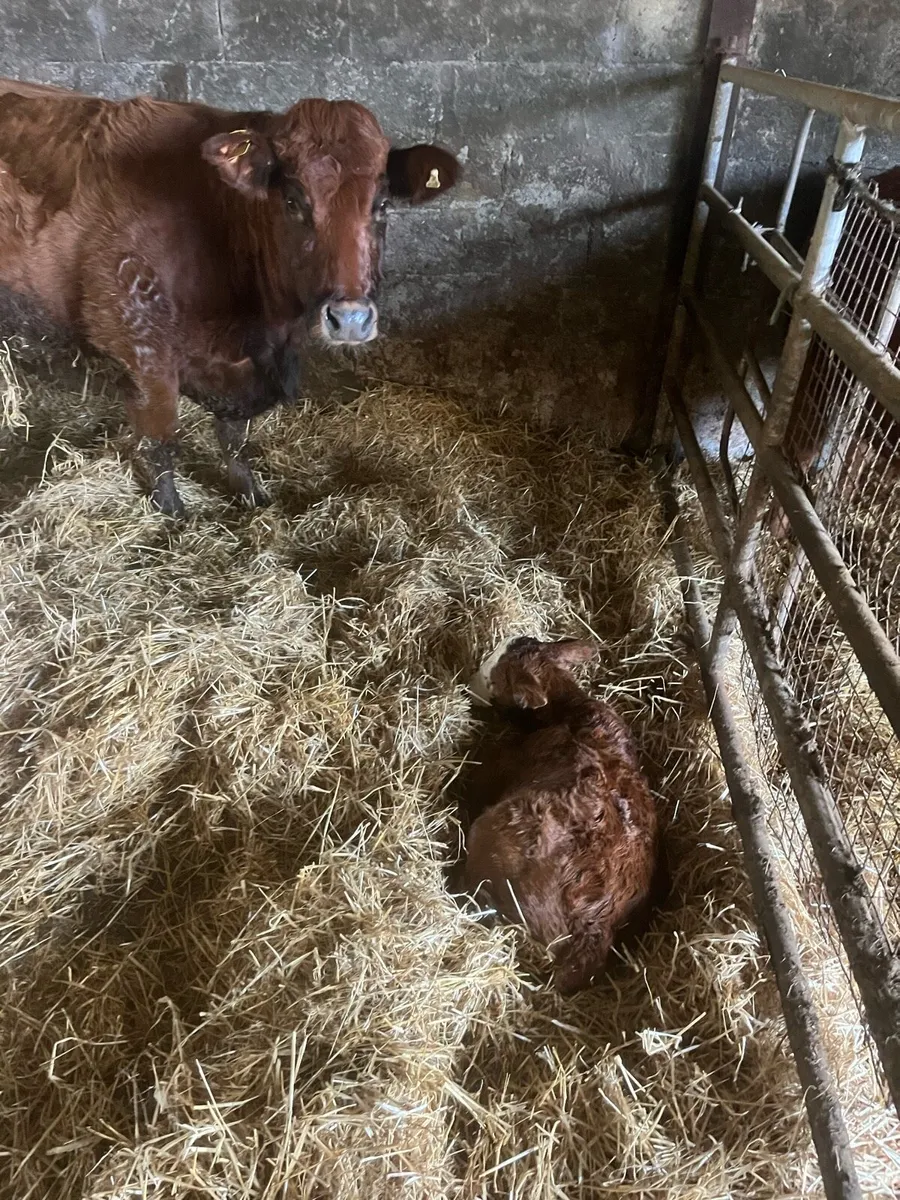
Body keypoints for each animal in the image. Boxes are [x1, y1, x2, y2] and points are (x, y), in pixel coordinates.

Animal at [0, 78, 461, 515]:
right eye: (292, 201)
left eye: (382, 205)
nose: (349, 319)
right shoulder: (139, 350)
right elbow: (161, 442)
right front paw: (173, 513)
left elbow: (234, 437)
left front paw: (251, 494)